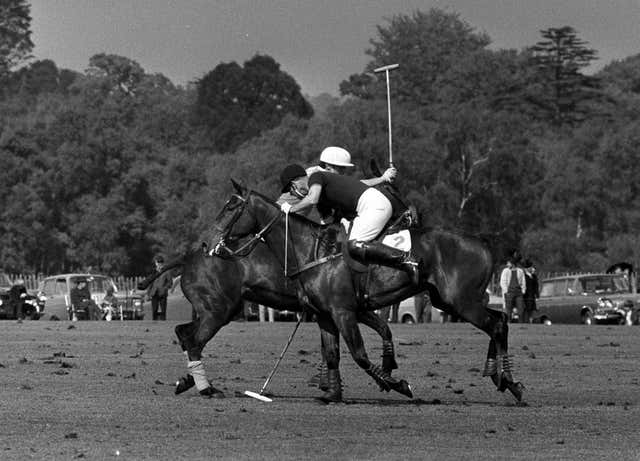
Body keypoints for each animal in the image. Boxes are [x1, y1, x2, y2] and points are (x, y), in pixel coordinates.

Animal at [138, 237, 400, 396]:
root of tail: (189, 256)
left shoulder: (346, 309)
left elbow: (380, 330)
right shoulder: (340, 309)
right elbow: (343, 347)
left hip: (220, 309)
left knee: (184, 332)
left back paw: (189, 381)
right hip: (217, 310)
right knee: (193, 339)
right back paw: (206, 389)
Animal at [211, 181, 524, 400]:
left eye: (230, 207)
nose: (212, 242)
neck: (309, 250)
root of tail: (482, 242)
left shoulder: (344, 312)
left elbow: (359, 354)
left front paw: (397, 384)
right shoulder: (326, 315)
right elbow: (333, 353)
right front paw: (332, 393)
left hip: (461, 302)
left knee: (497, 324)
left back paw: (509, 381)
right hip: (448, 301)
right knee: (499, 320)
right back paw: (500, 377)